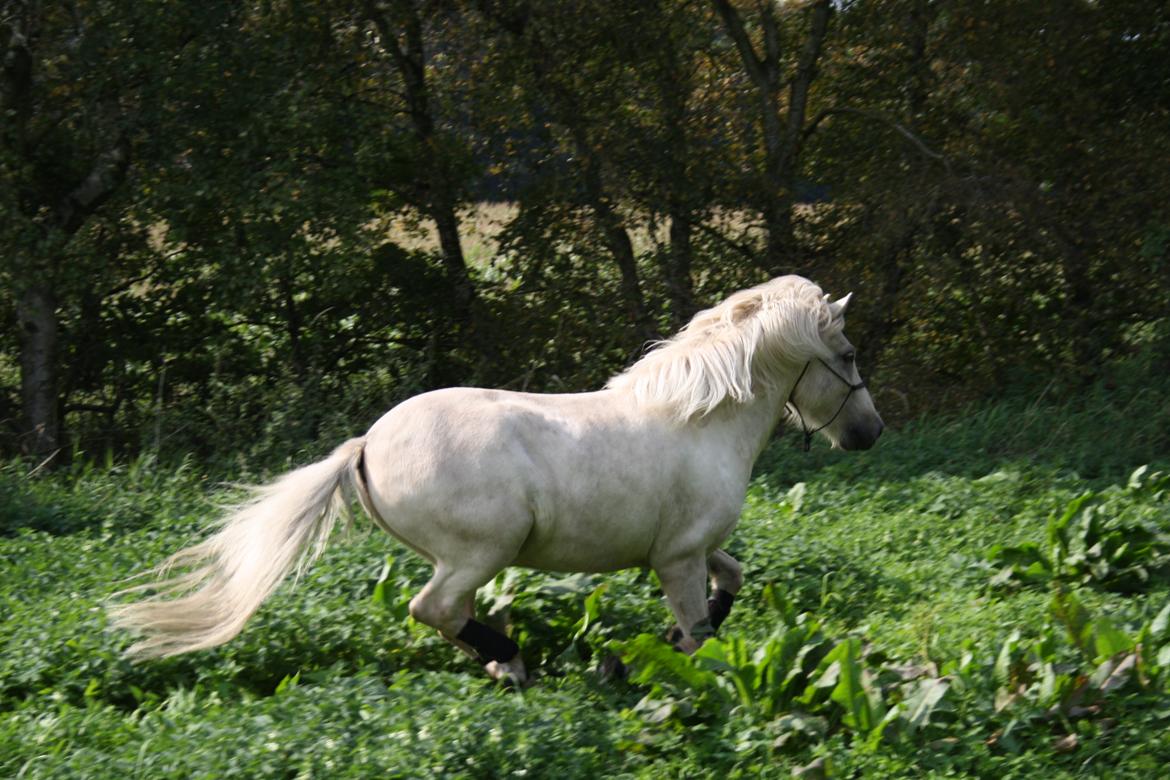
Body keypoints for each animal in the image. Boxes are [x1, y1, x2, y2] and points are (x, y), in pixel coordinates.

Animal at [111, 274, 879, 682]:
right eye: (846, 355)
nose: (868, 433)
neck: (699, 421)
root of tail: (366, 444)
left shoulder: (693, 550)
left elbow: (733, 581)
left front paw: (660, 649)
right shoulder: (678, 558)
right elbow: (696, 631)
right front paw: (677, 665)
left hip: (473, 559)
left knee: (449, 615)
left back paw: (507, 666)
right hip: (480, 551)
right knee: (433, 609)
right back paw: (514, 664)